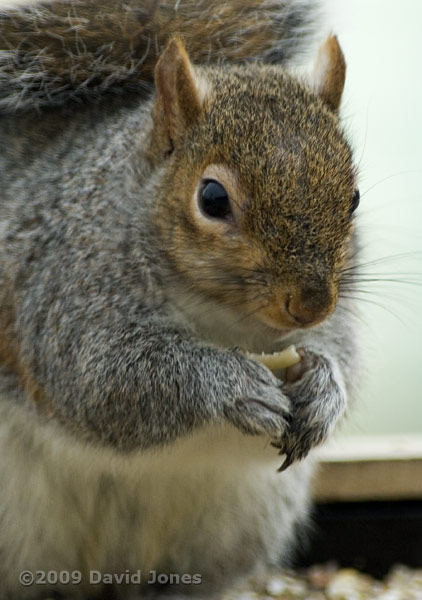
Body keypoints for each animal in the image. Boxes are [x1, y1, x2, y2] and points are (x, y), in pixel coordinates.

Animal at [0, 0, 360, 596]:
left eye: (352, 197)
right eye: (211, 198)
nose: (310, 305)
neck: (225, 322)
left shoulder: (342, 311)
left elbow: (345, 359)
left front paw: (323, 389)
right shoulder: (64, 291)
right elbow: (103, 381)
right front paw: (232, 386)